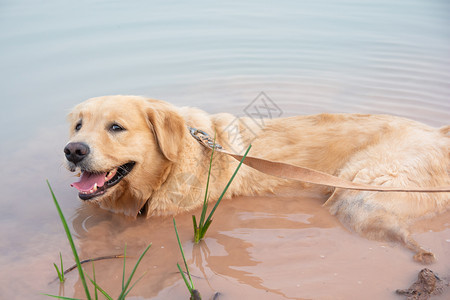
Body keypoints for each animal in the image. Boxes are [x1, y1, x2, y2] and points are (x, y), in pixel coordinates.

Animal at [64, 95, 450, 264]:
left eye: (116, 127)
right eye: (78, 125)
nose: (72, 150)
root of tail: (440, 133)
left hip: (358, 196)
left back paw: (420, 252)